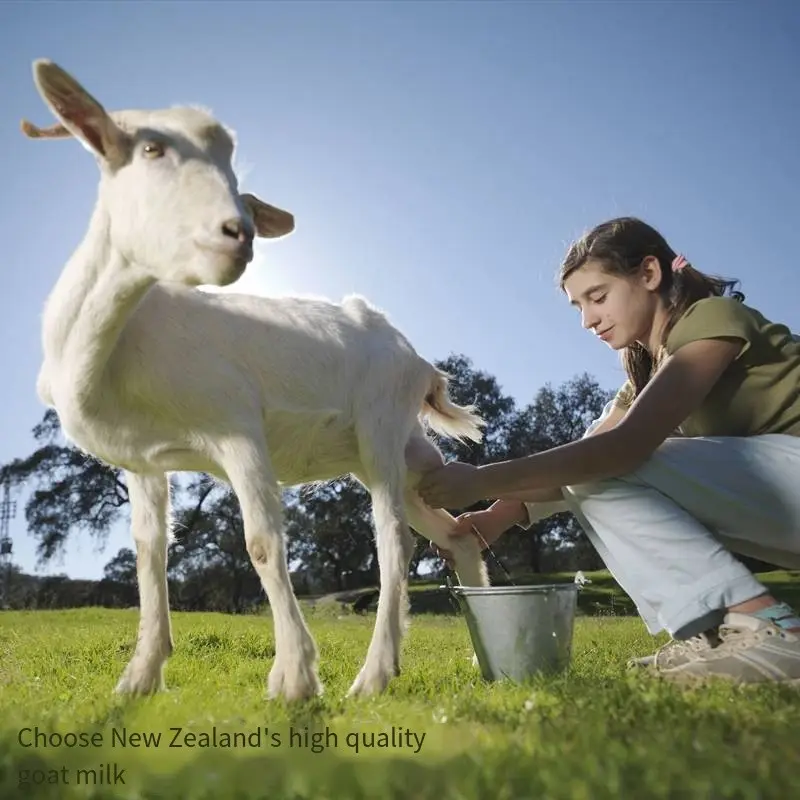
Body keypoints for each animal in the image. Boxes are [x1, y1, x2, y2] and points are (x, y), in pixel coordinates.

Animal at [23, 61, 488, 700]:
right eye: (151, 147)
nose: (236, 232)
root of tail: (418, 360)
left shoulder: (237, 427)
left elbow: (262, 544)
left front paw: (294, 677)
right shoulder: (143, 462)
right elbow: (148, 556)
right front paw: (138, 679)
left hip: (380, 424)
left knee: (394, 539)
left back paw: (372, 676)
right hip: (399, 455)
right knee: (456, 532)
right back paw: (484, 656)